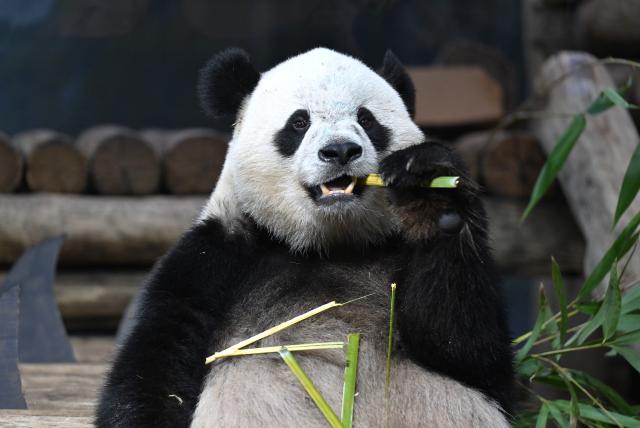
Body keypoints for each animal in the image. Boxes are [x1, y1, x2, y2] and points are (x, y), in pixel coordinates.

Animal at [96, 47, 514, 427]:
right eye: (298, 123)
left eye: (367, 119)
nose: (341, 150)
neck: (326, 244)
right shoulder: (214, 257)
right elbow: (157, 364)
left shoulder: (395, 250)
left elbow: (467, 350)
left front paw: (431, 193)